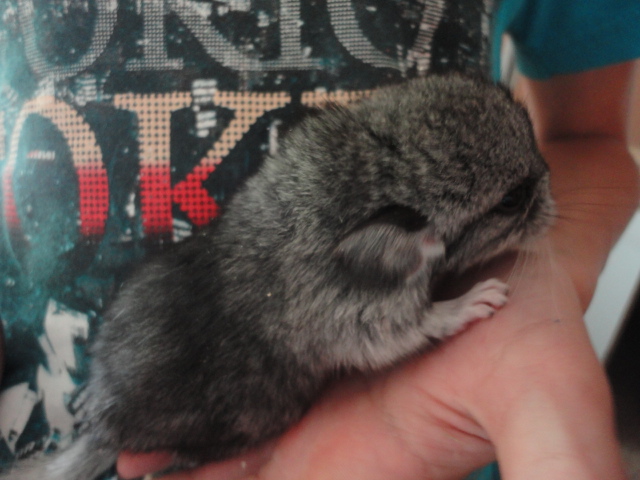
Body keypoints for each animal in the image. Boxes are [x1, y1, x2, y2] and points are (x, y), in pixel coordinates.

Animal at [2, 74, 555, 479]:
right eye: (510, 201)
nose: (553, 205)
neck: (364, 175)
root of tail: (104, 427)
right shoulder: (354, 315)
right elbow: (416, 324)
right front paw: (476, 301)